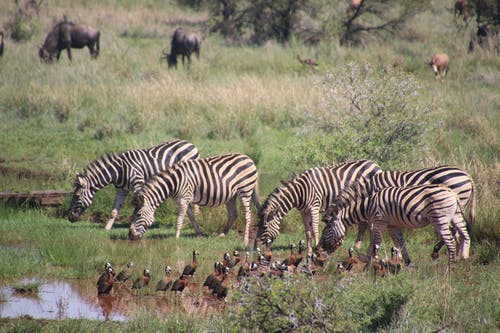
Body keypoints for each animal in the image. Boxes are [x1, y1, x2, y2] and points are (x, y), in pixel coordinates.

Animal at [68, 139, 199, 230]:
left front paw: (134, 224)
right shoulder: (121, 190)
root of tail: (190, 143)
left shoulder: (138, 184)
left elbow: (137, 207)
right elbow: (114, 211)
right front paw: (107, 228)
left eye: (77, 196)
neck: (119, 171)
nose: (69, 218)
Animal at [128, 152, 262, 244]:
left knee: (247, 214)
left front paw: (176, 238)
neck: (174, 182)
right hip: (231, 196)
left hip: (245, 191)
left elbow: (179, 219)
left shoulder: (183, 199)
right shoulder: (184, 199)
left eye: (138, 215)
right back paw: (222, 234)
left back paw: (245, 240)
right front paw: (199, 235)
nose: (130, 236)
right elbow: (192, 218)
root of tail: (249, 159)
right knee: (233, 214)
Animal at [322, 165, 474, 255]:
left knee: (454, 230)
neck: (370, 189)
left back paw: (438, 251)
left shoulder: (378, 209)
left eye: (328, 228)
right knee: (458, 230)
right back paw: (458, 252)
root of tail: (468, 175)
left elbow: (369, 229)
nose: (323, 251)